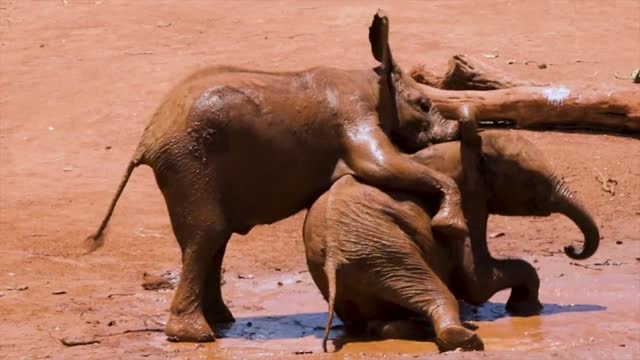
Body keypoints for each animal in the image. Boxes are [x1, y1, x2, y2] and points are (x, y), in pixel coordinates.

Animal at [85, 11, 468, 342]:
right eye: (423, 105)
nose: (456, 129)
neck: (372, 78)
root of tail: (147, 138)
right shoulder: (353, 114)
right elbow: (380, 165)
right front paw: (450, 224)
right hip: (188, 163)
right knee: (207, 234)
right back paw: (197, 335)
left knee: (213, 239)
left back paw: (220, 322)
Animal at [302, 119, 596, 352]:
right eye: (532, 182)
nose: (571, 248)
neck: (463, 149)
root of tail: (332, 259)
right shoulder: (470, 201)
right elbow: (476, 281)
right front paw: (528, 309)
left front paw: (524, 310)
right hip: (384, 254)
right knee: (436, 293)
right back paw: (467, 338)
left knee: (379, 321)